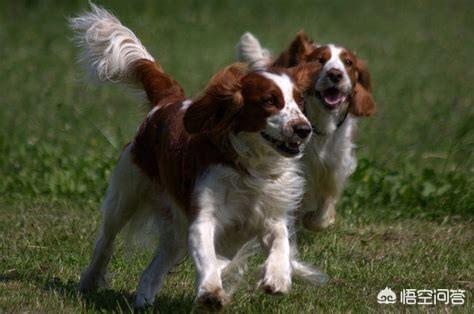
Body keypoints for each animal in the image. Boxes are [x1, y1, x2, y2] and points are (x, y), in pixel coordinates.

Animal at [70, 3, 328, 310]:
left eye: (299, 102)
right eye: (269, 101)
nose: (304, 129)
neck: (249, 166)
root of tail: (166, 102)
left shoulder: (269, 215)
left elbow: (280, 240)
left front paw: (278, 277)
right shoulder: (203, 218)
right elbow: (208, 258)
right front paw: (210, 291)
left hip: (174, 227)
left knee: (152, 270)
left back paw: (144, 301)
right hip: (125, 195)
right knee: (106, 241)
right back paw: (89, 281)